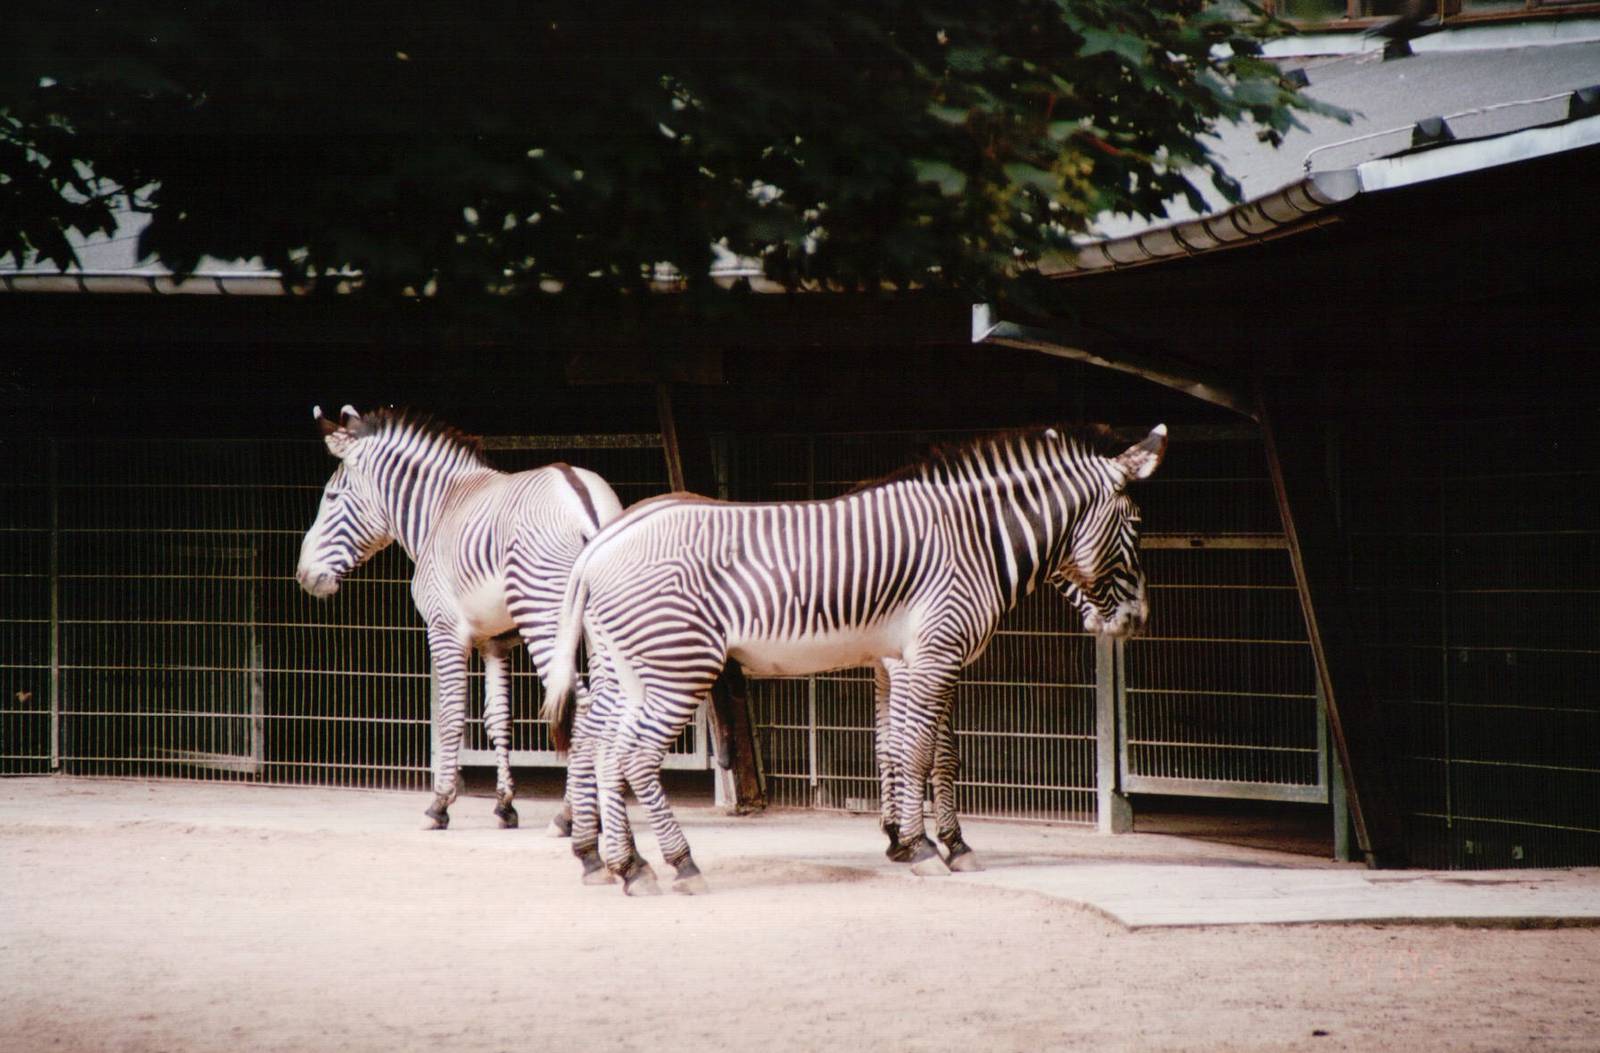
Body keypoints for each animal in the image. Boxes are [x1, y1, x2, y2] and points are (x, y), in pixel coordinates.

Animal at [295, 404, 622, 858]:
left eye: (331, 497)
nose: (303, 575)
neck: (438, 513)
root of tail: (582, 500)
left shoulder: (444, 629)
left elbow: (451, 716)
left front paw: (439, 806)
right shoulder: (495, 642)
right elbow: (497, 718)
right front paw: (504, 806)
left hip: (545, 618)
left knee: (582, 706)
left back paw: (568, 816)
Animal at [541, 423, 1166, 894]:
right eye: (1137, 525)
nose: (1137, 621)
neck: (970, 541)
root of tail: (600, 547)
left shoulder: (903, 660)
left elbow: (905, 749)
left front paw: (917, 841)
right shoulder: (934, 653)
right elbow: (925, 754)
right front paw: (927, 847)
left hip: (629, 665)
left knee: (600, 748)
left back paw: (623, 864)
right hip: (677, 664)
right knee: (634, 757)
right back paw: (679, 863)